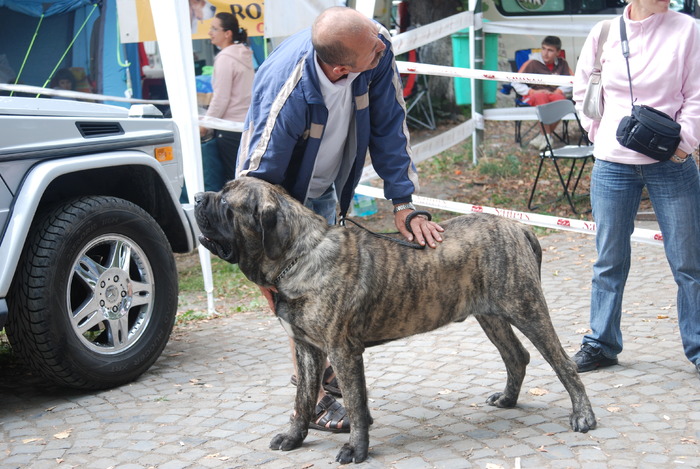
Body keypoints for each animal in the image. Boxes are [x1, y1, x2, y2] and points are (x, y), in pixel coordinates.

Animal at [193, 177, 596, 462]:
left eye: (226, 204)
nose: (197, 197)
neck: (299, 255)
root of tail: (519, 227)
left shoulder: (342, 351)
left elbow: (355, 404)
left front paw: (356, 450)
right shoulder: (308, 349)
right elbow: (303, 398)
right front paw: (294, 437)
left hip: (526, 308)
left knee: (562, 363)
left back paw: (583, 417)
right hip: (490, 315)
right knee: (516, 356)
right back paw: (509, 399)